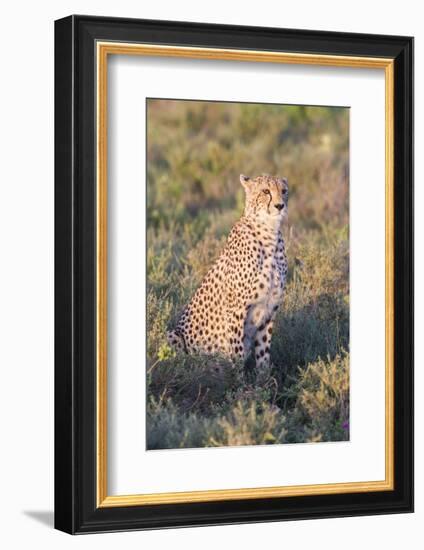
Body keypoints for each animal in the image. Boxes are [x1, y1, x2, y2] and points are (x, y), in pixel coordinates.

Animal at [167, 175, 290, 368]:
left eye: (284, 191)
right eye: (266, 191)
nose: (280, 206)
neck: (269, 233)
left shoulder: (270, 310)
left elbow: (263, 355)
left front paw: (264, 377)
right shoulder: (236, 310)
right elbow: (237, 355)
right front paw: (236, 377)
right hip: (173, 336)